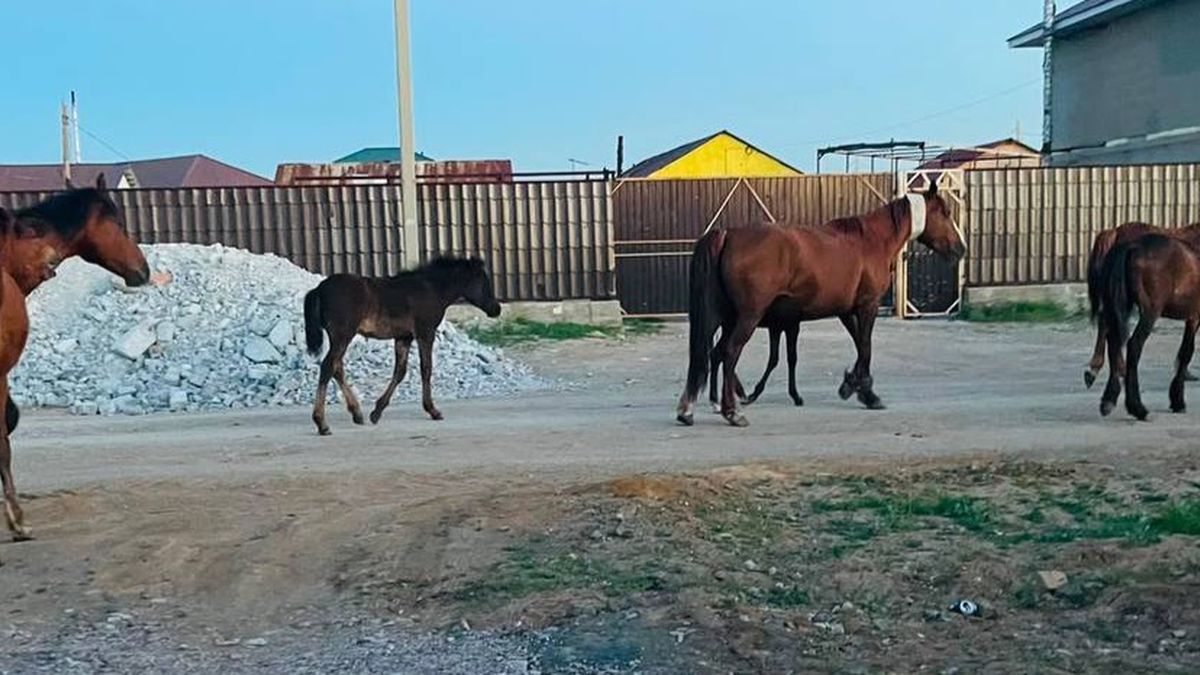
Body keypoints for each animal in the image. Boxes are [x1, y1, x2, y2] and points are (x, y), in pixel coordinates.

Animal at [303, 257, 502, 435]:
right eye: (482, 282)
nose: (496, 309)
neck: (432, 289)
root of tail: (319, 289)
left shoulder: (403, 338)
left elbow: (400, 371)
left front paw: (376, 412)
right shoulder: (425, 333)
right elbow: (426, 368)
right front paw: (433, 410)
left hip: (339, 338)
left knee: (336, 368)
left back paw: (357, 413)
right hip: (343, 335)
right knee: (328, 367)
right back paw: (322, 424)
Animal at [677, 181, 965, 427]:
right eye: (945, 212)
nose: (960, 249)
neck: (871, 240)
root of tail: (727, 235)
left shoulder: (846, 311)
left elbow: (860, 346)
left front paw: (855, 387)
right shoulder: (867, 306)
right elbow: (866, 347)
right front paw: (865, 392)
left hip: (724, 318)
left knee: (709, 354)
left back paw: (692, 409)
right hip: (748, 316)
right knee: (729, 353)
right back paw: (731, 412)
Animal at [1098, 234, 1200, 420]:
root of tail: (1133, 246)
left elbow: (1185, 352)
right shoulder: (1194, 317)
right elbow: (1186, 353)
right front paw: (1178, 401)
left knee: (1114, 343)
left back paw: (1109, 400)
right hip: (1150, 312)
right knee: (1134, 345)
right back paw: (1137, 408)